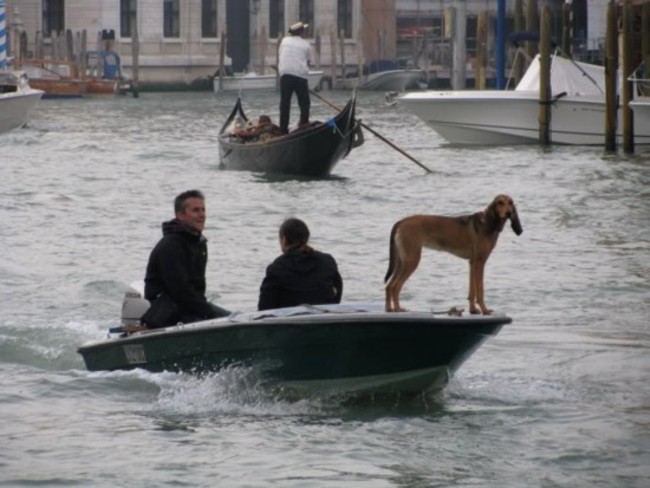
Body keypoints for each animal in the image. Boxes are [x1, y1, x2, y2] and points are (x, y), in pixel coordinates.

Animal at [384, 195, 520, 314]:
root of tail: (402, 221)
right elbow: (480, 291)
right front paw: (484, 310)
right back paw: (397, 309)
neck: (487, 223)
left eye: (511, 203)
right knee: (395, 286)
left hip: (402, 261)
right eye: (500, 202)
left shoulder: (472, 263)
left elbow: (472, 291)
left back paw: (389, 309)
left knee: (389, 286)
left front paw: (473, 310)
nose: (509, 213)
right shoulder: (480, 262)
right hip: (411, 260)